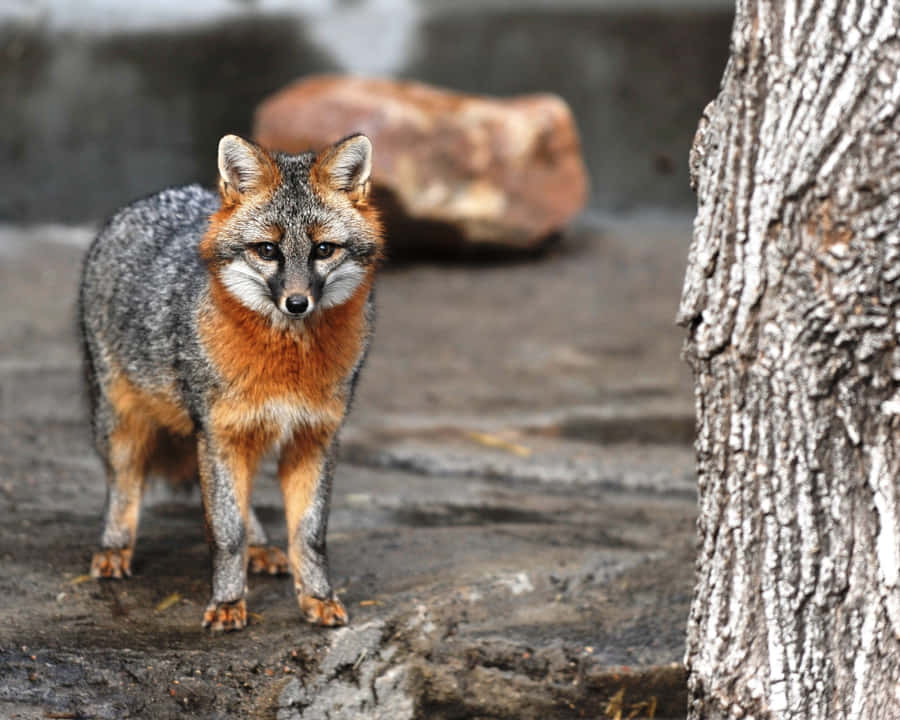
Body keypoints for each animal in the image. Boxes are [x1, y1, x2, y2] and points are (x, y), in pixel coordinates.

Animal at [78, 133, 382, 631]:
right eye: (267, 250)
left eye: (323, 250)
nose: (296, 303)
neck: (287, 367)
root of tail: (152, 198)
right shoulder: (219, 435)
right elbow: (225, 530)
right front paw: (226, 602)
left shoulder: (315, 437)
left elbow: (309, 533)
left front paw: (317, 597)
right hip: (124, 425)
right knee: (124, 485)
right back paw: (114, 548)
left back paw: (261, 547)